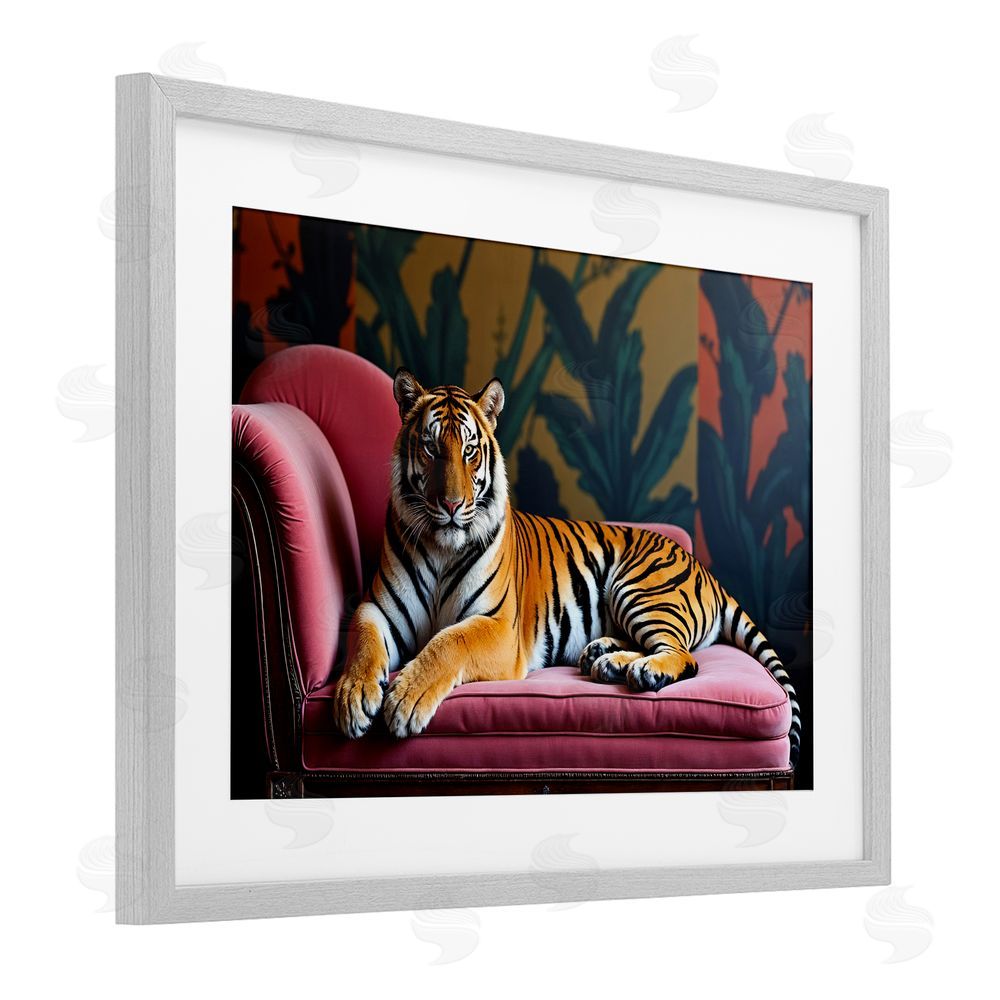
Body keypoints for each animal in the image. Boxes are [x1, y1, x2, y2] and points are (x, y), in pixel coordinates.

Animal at [332, 369, 801, 766]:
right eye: (431, 447)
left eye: (469, 450)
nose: (450, 505)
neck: (441, 547)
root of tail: (704, 568)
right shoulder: (376, 609)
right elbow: (364, 643)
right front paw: (352, 699)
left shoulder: (497, 625)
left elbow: (448, 642)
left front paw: (405, 701)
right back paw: (605, 658)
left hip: (639, 588)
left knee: (684, 656)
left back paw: (642, 671)